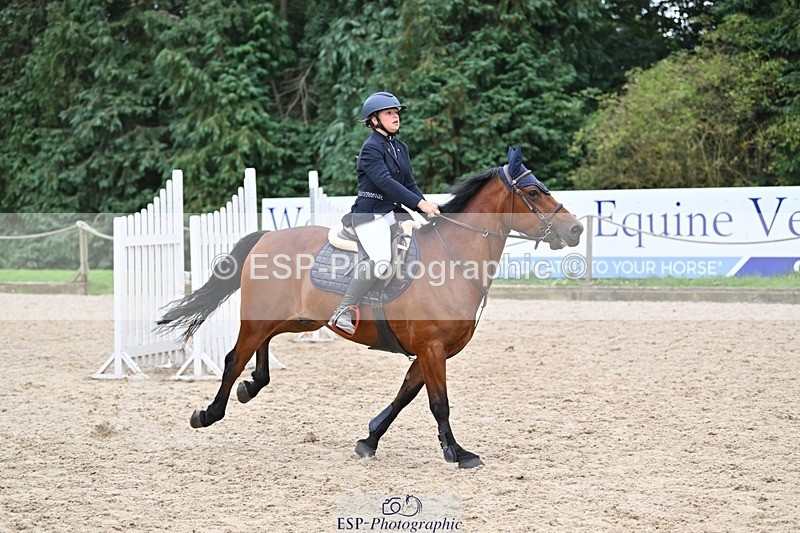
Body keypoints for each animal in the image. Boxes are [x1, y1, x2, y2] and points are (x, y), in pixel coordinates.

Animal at [158, 146, 583, 468]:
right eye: (533, 192)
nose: (576, 229)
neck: (453, 259)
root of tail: (267, 237)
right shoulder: (431, 348)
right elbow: (439, 404)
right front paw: (456, 453)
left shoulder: (429, 352)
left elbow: (403, 397)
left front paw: (369, 440)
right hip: (264, 319)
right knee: (233, 359)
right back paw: (209, 413)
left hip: (298, 319)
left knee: (261, 349)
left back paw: (252, 385)